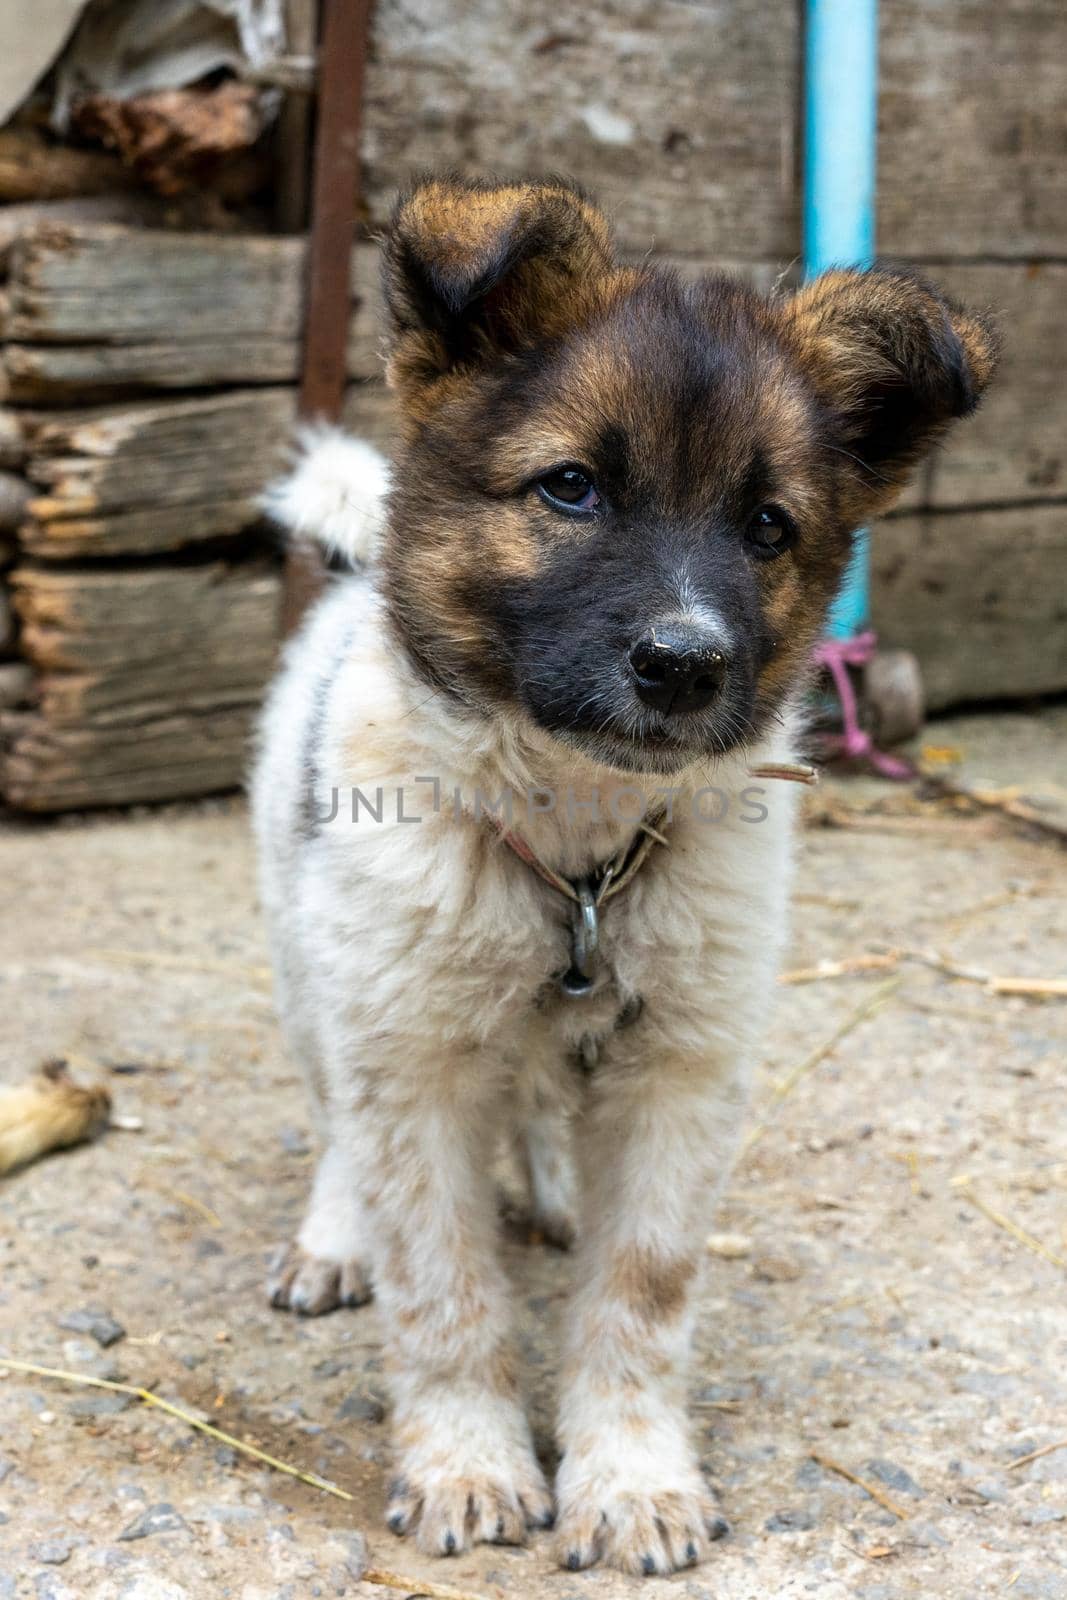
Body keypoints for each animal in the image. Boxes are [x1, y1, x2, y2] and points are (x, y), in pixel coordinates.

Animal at [254, 175, 998, 1574]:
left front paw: (632, 1478)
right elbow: (442, 1288)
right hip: (311, 963)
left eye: (765, 526)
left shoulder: (679, 1073)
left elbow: (638, 1295)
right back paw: (333, 1237)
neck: (576, 859)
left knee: (542, 1108)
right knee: (336, 1123)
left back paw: (546, 1187)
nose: (684, 663)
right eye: (568, 489)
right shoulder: (409, 1054)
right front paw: (468, 1462)